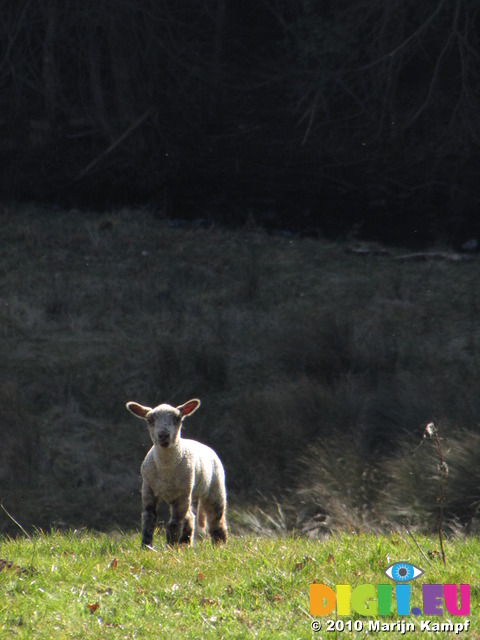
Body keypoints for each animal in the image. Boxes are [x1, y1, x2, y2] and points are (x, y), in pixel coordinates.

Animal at [125, 398, 227, 548]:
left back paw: (219, 546)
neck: (166, 470)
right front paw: (146, 546)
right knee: (190, 517)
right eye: (149, 420)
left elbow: (174, 523)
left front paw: (170, 547)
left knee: (216, 521)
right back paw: (185, 544)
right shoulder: (148, 489)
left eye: (177, 418)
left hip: (215, 487)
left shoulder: (182, 493)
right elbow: (149, 519)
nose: (163, 435)